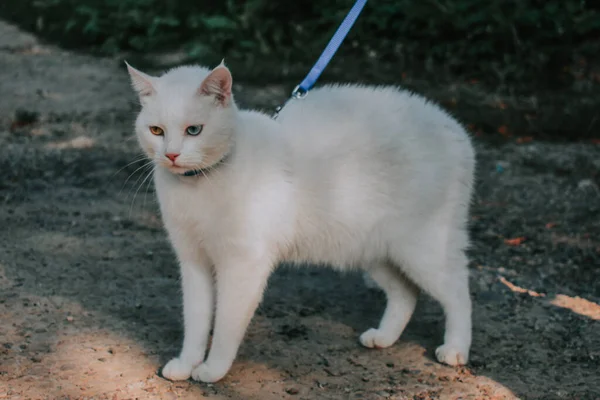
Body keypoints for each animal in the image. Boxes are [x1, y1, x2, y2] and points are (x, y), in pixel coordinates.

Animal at [125, 61, 474, 382]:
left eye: (194, 130)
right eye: (156, 131)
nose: (171, 155)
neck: (199, 184)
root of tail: (455, 128)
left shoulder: (243, 264)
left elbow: (225, 323)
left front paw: (213, 370)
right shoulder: (193, 261)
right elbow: (196, 320)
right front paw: (187, 364)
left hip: (422, 247)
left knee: (459, 292)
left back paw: (455, 350)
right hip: (375, 250)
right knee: (406, 294)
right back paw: (383, 338)